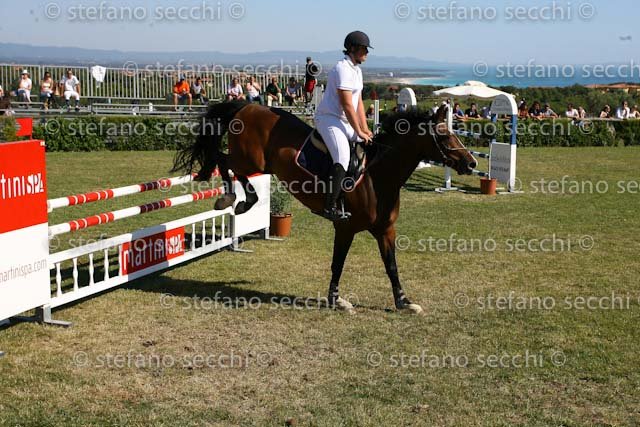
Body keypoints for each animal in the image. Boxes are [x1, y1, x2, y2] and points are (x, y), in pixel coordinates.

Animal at [172, 101, 477, 314]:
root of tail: (248, 105)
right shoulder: (345, 228)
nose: (471, 162)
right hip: (250, 160)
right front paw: (336, 300)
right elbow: (337, 263)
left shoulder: (385, 230)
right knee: (223, 160)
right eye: (444, 136)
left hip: (259, 163)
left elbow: (391, 265)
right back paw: (233, 199)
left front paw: (404, 302)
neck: (378, 176)